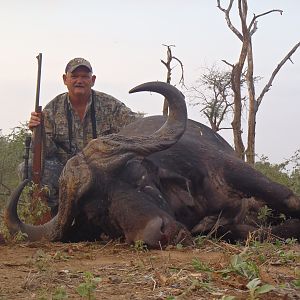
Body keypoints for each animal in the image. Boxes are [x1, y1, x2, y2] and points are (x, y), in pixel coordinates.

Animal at [4, 81, 300, 247]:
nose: (158, 235)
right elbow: (236, 230)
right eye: (98, 214)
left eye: (137, 176)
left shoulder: (231, 170)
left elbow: (286, 197)